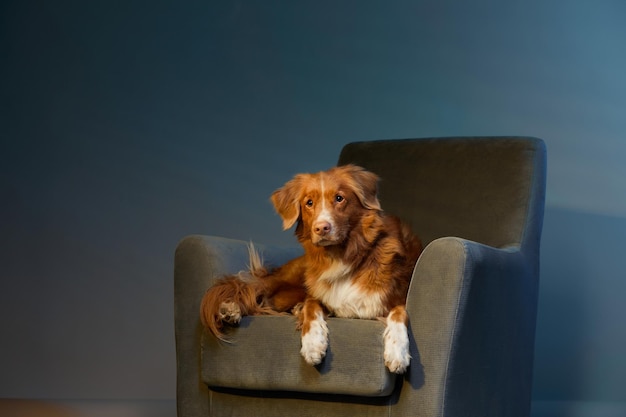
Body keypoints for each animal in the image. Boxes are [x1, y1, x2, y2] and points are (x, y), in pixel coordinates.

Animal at [202, 163, 422, 374]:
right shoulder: (320, 294)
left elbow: (399, 314)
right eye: (309, 203)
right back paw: (229, 309)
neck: (341, 257)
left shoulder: (397, 297)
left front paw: (397, 352)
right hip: (288, 279)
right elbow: (311, 306)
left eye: (339, 198)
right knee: (253, 289)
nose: (322, 228)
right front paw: (312, 344)